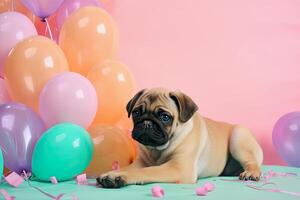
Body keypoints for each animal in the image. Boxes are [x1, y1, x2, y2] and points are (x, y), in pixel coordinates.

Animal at [96, 87, 262, 188]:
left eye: (165, 117)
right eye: (136, 113)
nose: (147, 123)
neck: (157, 150)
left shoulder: (179, 168)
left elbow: (146, 171)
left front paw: (118, 177)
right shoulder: (140, 163)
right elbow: (128, 168)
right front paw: (114, 173)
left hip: (238, 139)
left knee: (252, 162)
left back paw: (251, 173)